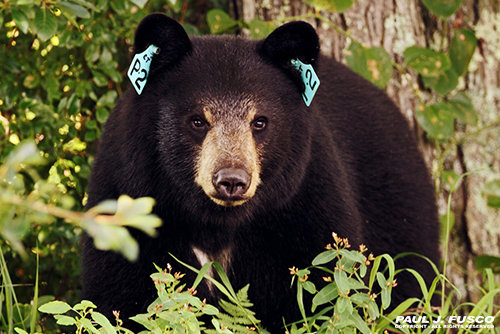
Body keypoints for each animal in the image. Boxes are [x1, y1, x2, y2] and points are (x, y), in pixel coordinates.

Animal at [81, 12, 438, 332]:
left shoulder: (304, 205)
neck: (216, 223)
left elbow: (327, 289)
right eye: (197, 120)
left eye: (260, 122)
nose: (231, 180)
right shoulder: (129, 198)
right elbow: (123, 295)